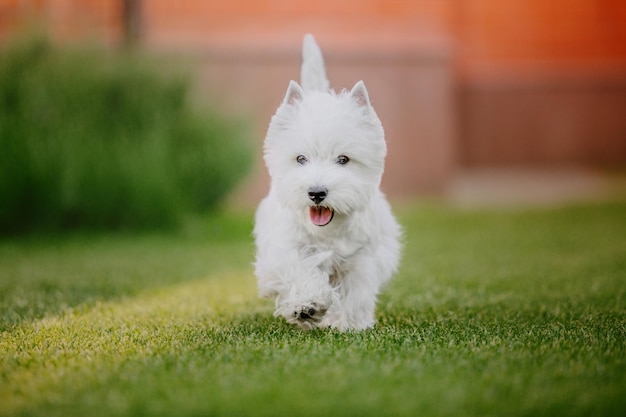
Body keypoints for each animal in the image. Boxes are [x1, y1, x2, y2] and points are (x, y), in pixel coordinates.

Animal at [252, 34, 400, 330]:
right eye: (300, 158)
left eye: (343, 159)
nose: (316, 192)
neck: (326, 233)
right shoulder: (284, 249)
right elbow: (298, 270)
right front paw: (306, 306)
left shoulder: (361, 258)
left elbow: (355, 291)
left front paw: (348, 323)